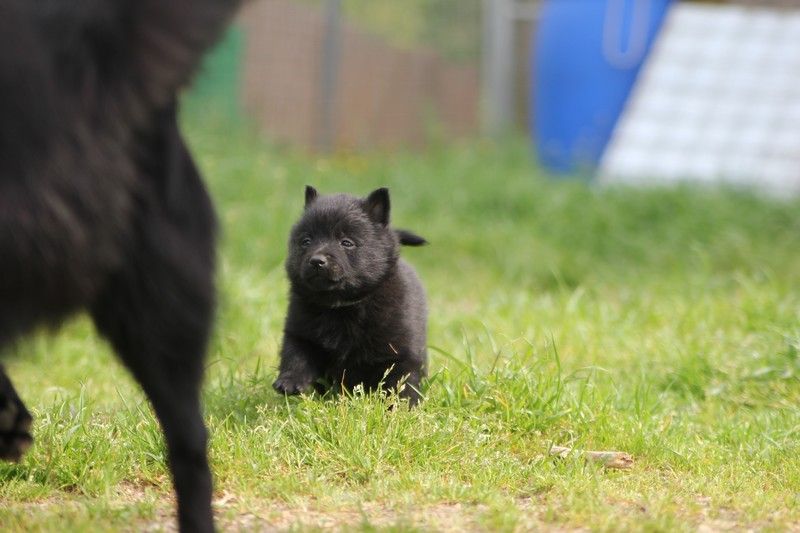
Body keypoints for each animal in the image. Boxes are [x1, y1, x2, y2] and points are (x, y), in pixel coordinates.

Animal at [273, 186, 429, 406]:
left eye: (346, 242)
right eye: (306, 241)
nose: (317, 261)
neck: (340, 306)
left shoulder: (400, 350)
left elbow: (402, 380)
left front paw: (402, 406)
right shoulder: (300, 331)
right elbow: (295, 355)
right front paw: (289, 382)